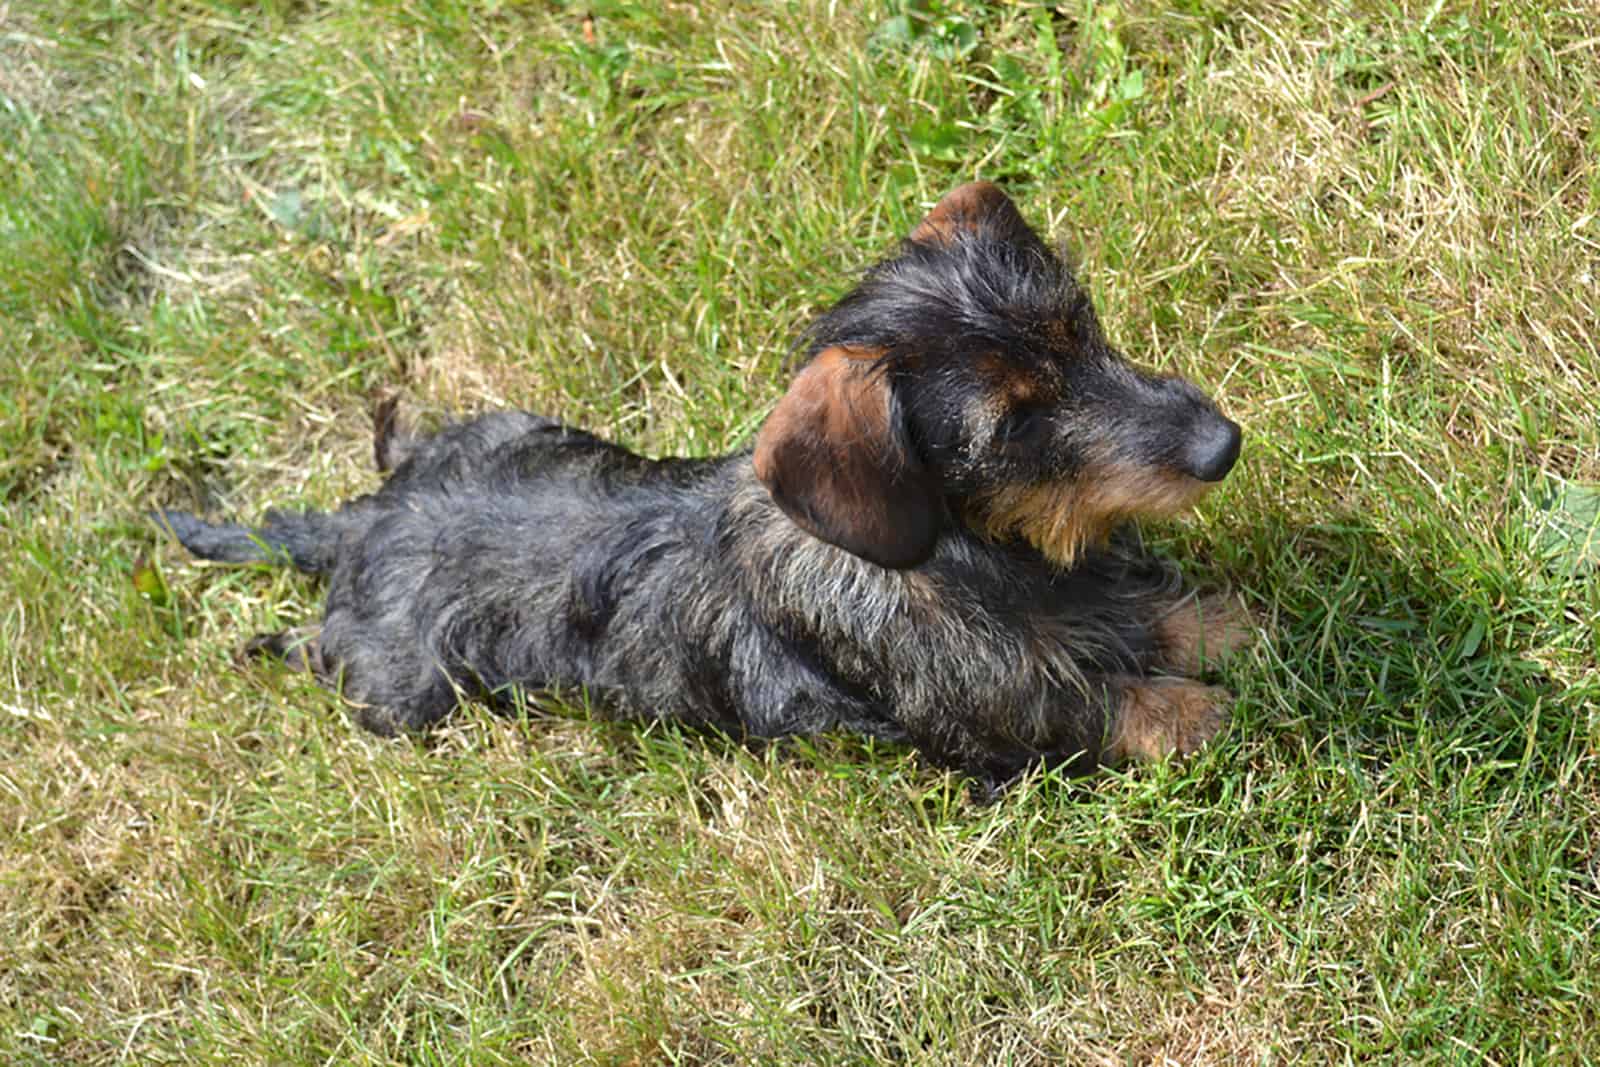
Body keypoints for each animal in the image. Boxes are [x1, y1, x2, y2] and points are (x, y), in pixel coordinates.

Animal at [156, 181, 1248, 793]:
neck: (980, 556)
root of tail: (366, 526)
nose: (1221, 444)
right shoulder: (991, 718)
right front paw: (1202, 712)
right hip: (407, 695)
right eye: (1012, 422)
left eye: (1079, 324)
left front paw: (1218, 623)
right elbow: (1103, 704)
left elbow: (1139, 611)